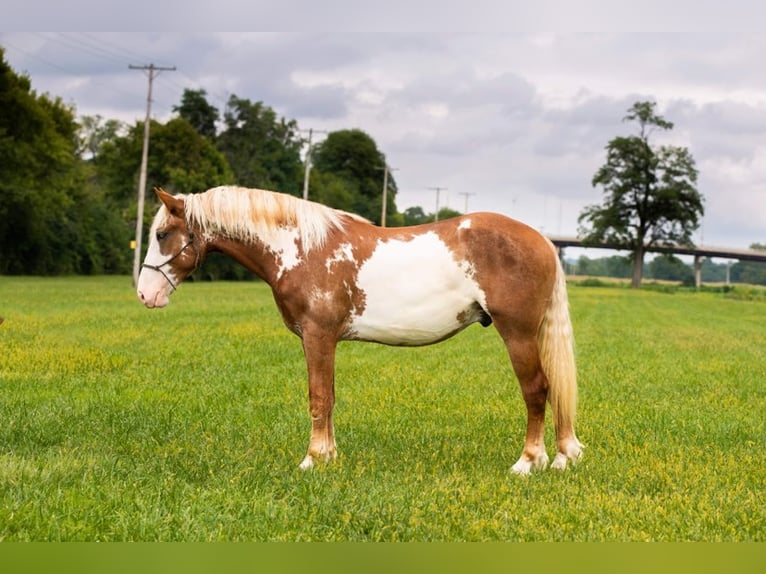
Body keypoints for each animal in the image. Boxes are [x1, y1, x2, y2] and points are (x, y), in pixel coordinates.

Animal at [138, 187, 584, 474]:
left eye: (161, 234)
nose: (145, 294)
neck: (302, 249)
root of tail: (544, 240)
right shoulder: (325, 340)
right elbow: (330, 397)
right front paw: (330, 456)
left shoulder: (317, 335)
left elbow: (318, 397)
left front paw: (312, 460)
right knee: (555, 388)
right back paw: (564, 456)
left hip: (518, 334)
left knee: (537, 389)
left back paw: (529, 462)